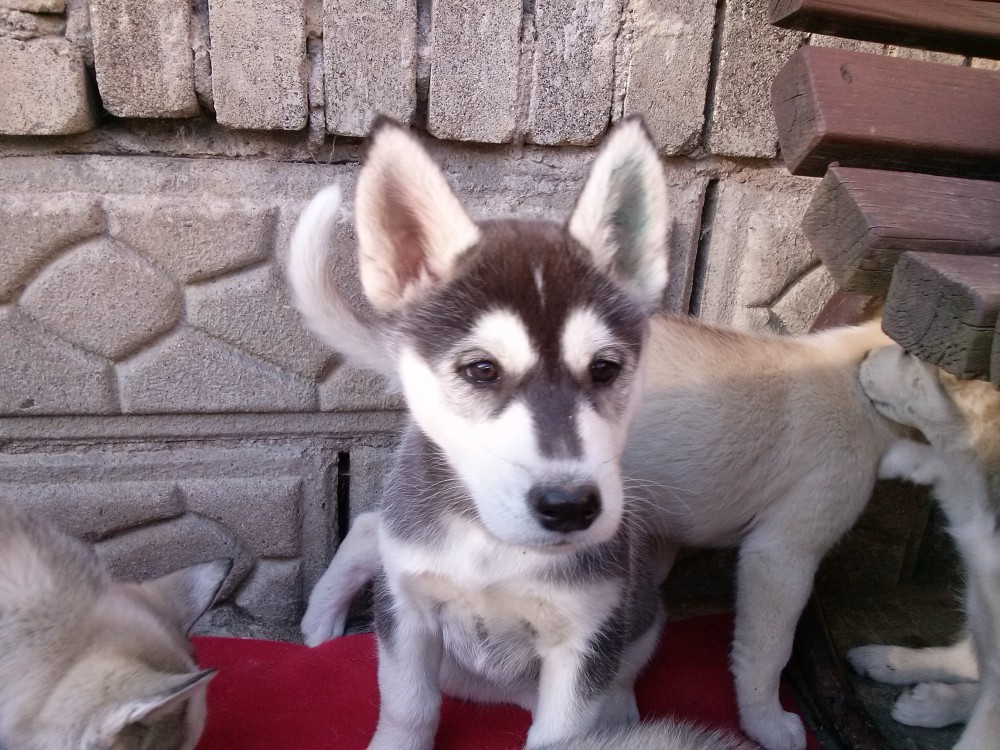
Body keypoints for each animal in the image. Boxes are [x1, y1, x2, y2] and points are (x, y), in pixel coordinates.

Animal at [291, 117, 901, 750]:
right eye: (481, 370)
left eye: (605, 369)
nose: (569, 507)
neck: (494, 546)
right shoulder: (407, 613)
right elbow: (409, 709)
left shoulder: (586, 638)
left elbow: (562, 735)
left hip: (641, 612)